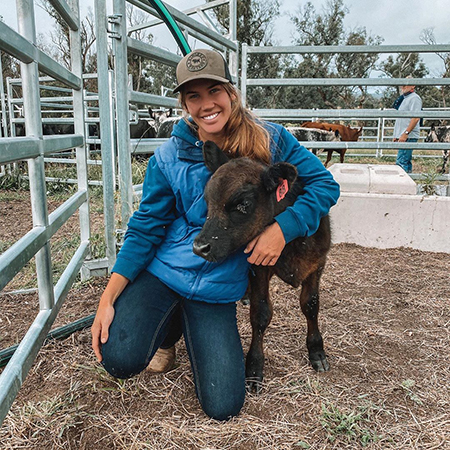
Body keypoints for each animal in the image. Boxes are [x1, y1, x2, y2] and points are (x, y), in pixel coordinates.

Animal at [193, 142, 330, 392]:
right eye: (208, 203)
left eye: (244, 204)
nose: (199, 247)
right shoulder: (258, 269)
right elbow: (261, 314)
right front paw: (254, 367)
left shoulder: (317, 265)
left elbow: (311, 305)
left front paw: (317, 351)